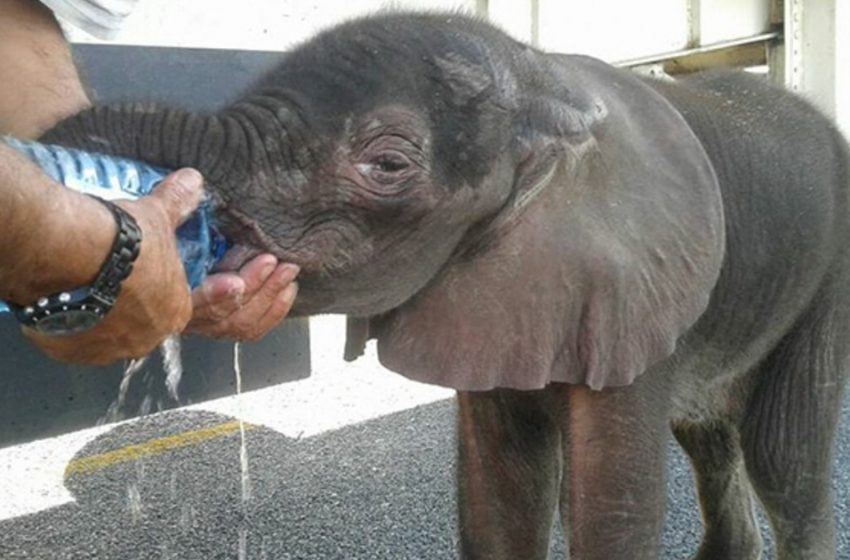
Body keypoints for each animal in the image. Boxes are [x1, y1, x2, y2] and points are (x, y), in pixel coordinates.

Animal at [43, 10, 844, 556]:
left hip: (827, 277)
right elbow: (500, 495)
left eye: (389, 165)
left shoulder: (630, 282)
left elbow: (612, 508)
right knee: (710, 438)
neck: (541, 80)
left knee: (784, 457)